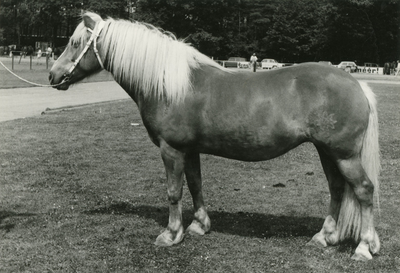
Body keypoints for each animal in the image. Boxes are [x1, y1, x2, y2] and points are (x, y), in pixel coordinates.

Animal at [49, 11, 382, 260]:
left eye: (75, 42)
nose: (53, 75)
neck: (171, 85)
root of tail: (356, 83)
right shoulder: (190, 150)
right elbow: (196, 185)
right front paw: (199, 226)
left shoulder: (171, 150)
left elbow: (174, 192)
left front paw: (170, 234)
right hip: (327, 152)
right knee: (337, 189)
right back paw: (325, 237)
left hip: (343, 154)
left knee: (364, 190)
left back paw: (364, 248)